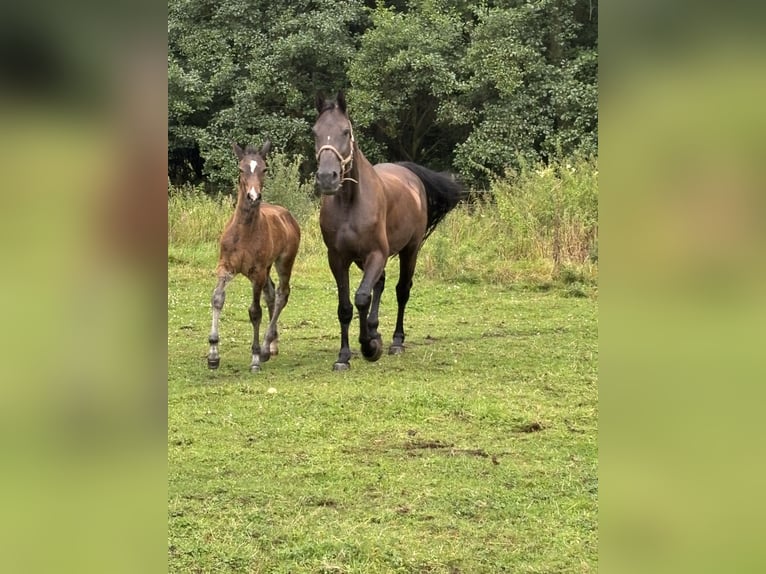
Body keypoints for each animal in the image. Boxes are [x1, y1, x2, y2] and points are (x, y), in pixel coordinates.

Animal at [207, 141, 301, 372]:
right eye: (241, 169)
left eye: (264, 169)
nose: (253, 196)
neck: (244, 232)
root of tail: (287, 215)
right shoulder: (225, 267)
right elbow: (217, 299)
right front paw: (213, 355)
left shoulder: (256, 272)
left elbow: (255, 311)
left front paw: (256, 357)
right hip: (265, 269)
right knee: (271, 293)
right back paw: (273, 344)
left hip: (284, 262)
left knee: (281, 294)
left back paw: (266, 347)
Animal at [313, 91, 465, 371]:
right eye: (315, 132)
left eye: (345, 131)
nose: (328, 177)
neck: (350, 204)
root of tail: (407, 171)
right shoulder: (338, 259)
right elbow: (346, 307)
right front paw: (344, 355)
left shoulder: (376, 254)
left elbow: (362, 297)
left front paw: (370, 347)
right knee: (380, 284)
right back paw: (375, 330)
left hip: (410, 251)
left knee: (402, 290)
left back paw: (396, 341)